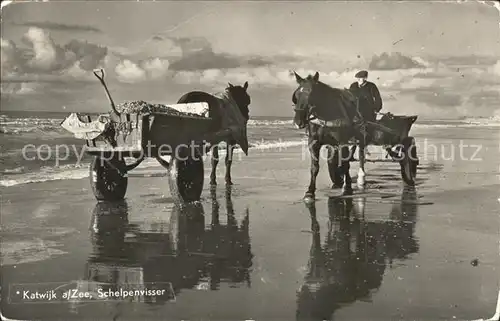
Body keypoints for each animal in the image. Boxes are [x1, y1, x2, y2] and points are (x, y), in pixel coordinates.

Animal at [290, 71, 364, 201]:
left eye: (311, 94)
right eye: (297, 95)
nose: (298, 122)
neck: (325, 115)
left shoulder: (342, 142)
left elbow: (345, 163)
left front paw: (348, 187)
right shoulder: (313, 142)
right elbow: (314, 167)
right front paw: (310, 191)